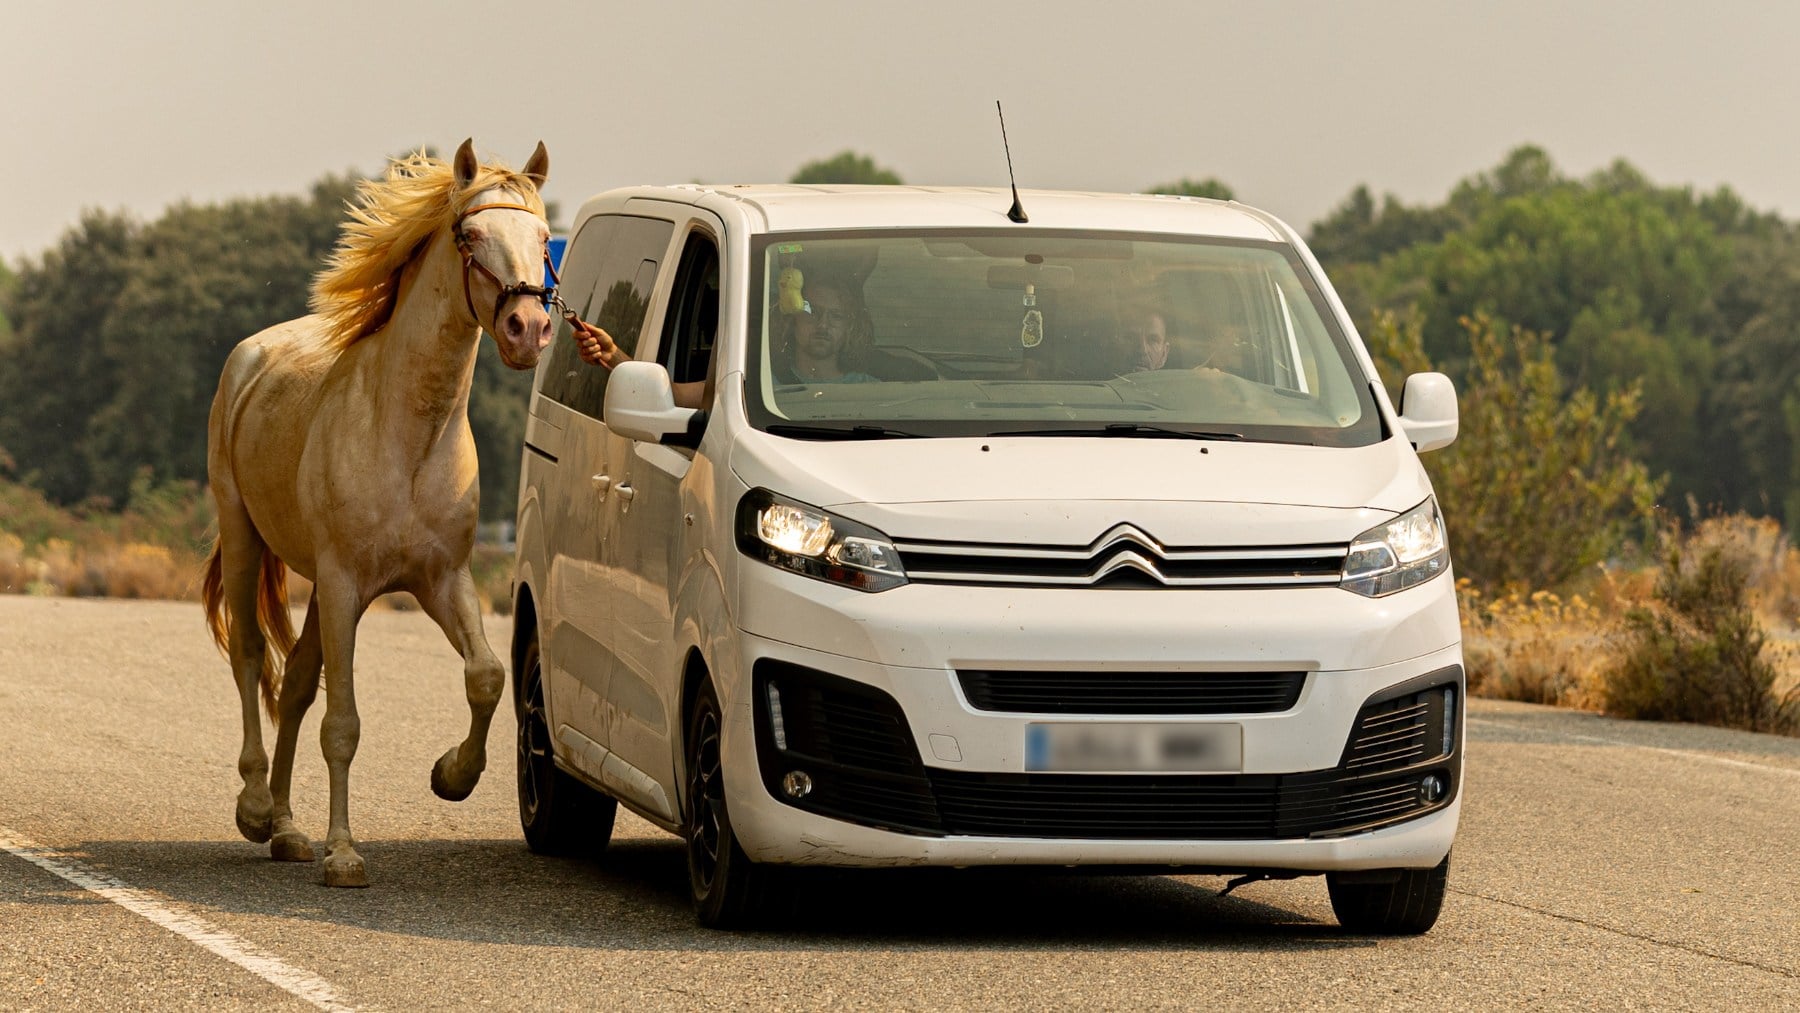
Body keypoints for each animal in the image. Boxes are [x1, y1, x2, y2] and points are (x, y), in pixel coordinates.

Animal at [202, 139, 555, 887]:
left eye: (543, 239)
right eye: (470, 236)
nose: (528, 328)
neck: (408, 437)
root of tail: (251, 355)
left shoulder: (441, 581)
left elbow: (485, 676)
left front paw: (452, 775)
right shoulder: (343, 584)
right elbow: (344, 723)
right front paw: (343, 854)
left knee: (295, 682)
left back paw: (287, 829)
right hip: (245, 535)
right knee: (250, 656)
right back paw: (255, 807)